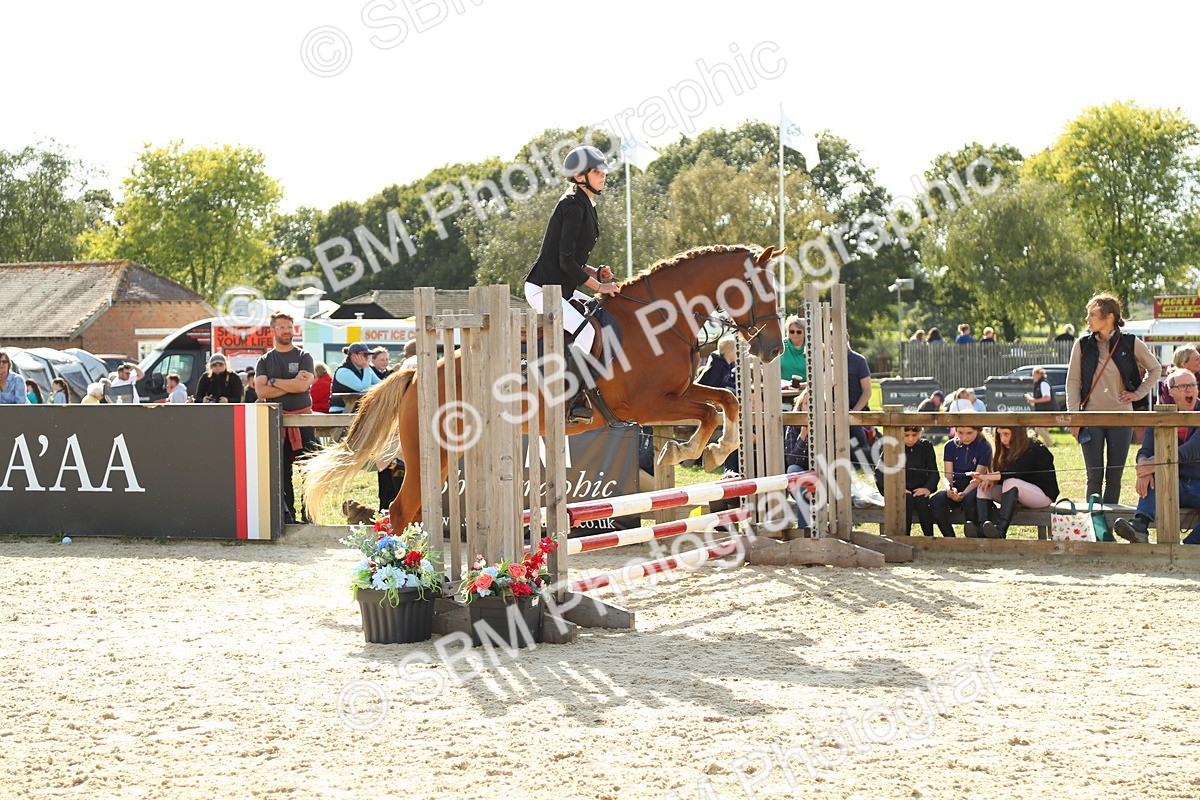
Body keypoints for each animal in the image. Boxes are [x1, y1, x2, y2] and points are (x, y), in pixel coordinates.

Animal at [303, 244, 786, 529]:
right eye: (759, 287)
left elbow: (725, 400)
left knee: (413, 509)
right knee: (402, 510)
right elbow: (708, 412)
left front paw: (715, 451)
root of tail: (415, 374)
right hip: (432, 450)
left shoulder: (678, 393)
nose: (773, 348)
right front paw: (690, 451)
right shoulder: (647, 404)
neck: (659, 318)